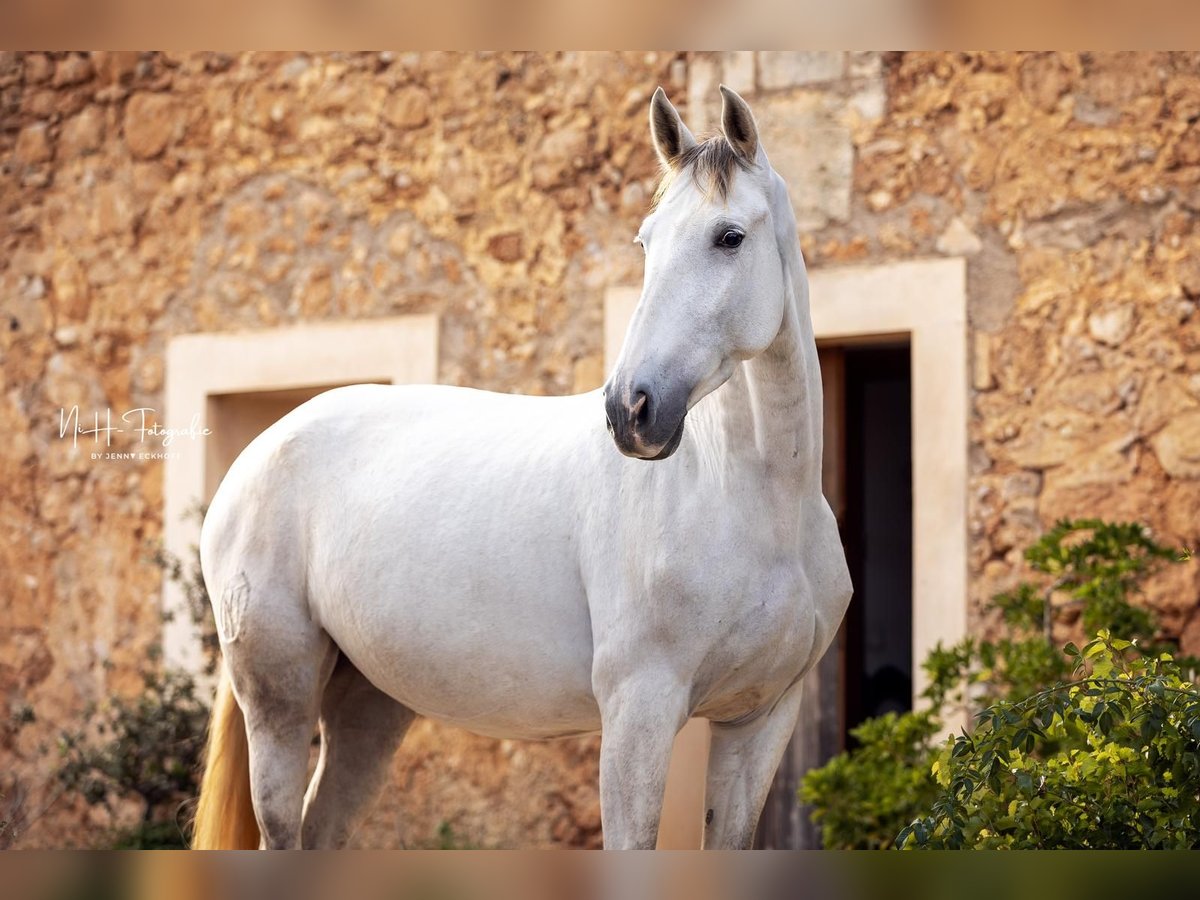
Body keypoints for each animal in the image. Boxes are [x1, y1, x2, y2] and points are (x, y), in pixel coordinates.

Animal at [191, 85, 852, 850]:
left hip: (369, 706)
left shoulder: (759, 722)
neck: (753, 506)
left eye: (729, 237)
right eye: (647, 242)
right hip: (280, 700)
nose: (631, 409)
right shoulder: (639, 713)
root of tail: (260, 454)